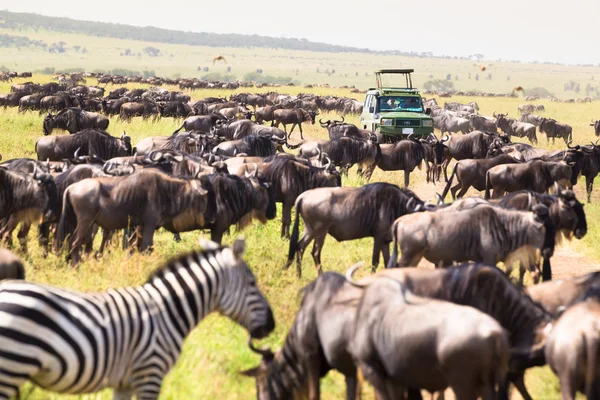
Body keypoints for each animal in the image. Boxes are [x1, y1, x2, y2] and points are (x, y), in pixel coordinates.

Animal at [0, 239, 274, 398]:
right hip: (11, 367)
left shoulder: (125, 383)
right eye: (252, 284)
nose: (272, 325)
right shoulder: (150, 373)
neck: (168, 310)